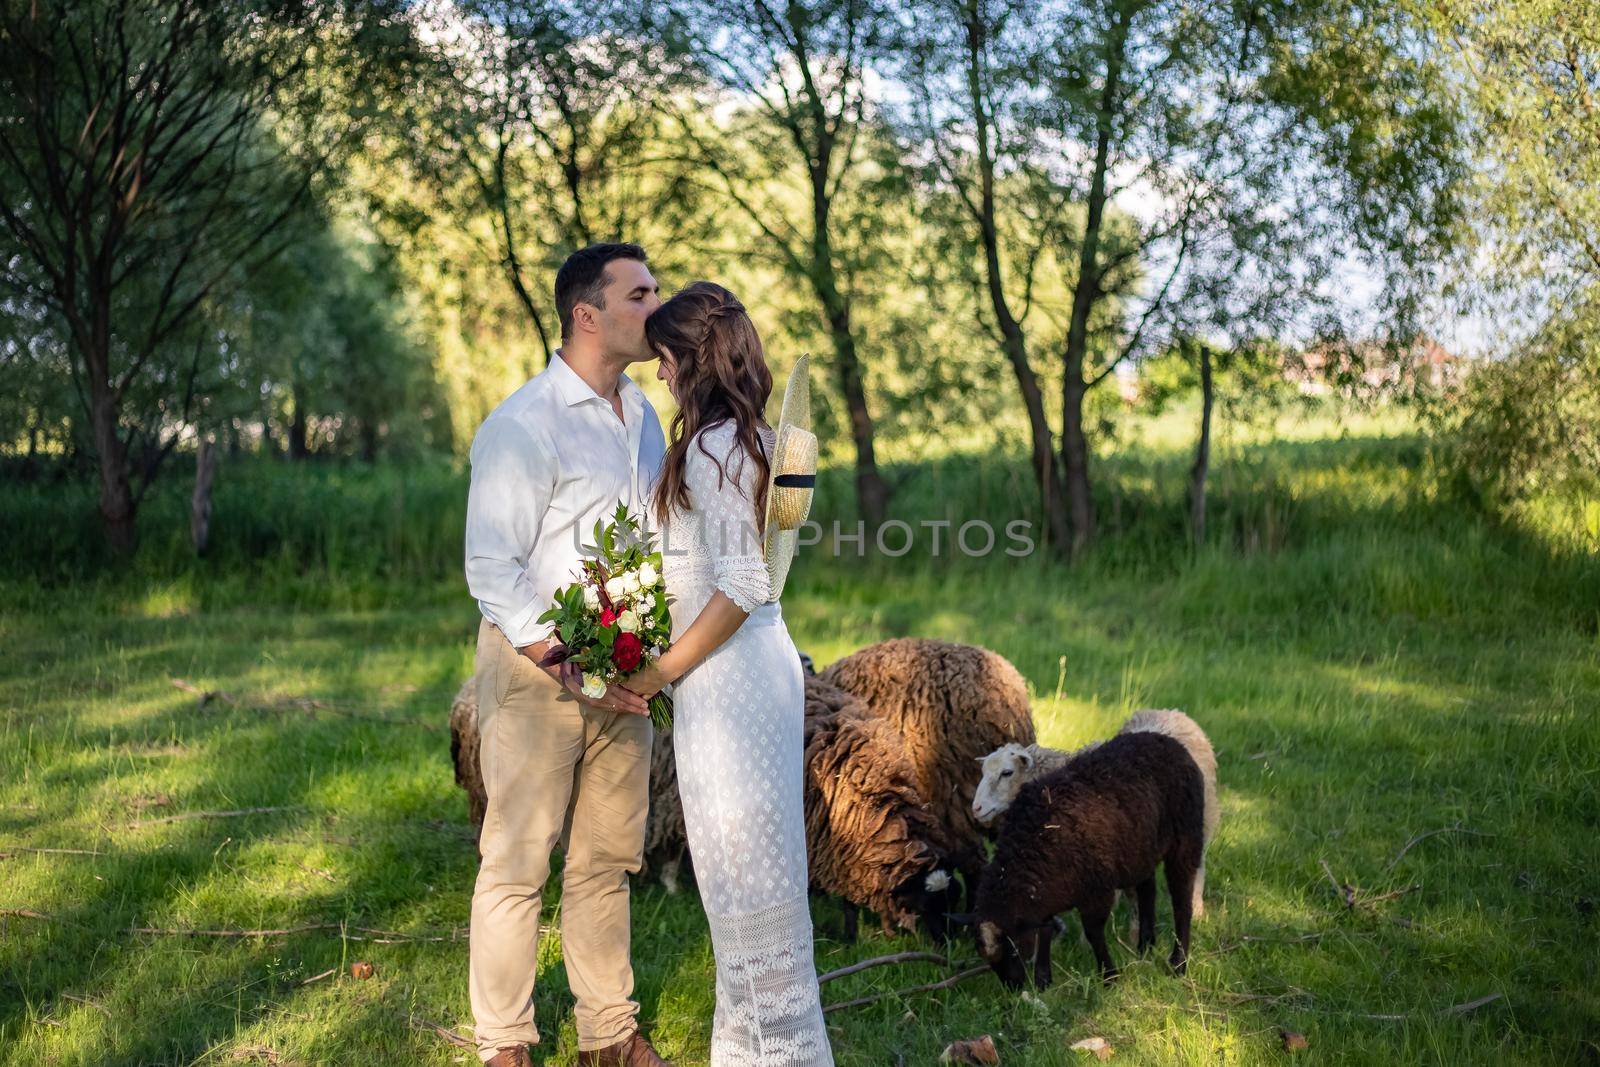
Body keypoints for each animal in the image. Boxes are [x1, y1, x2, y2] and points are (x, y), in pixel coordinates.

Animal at [806, 681, 953, 940]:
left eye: (949, 899)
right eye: (926, 902)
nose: (948, 942)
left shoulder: (844, 851)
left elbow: (849, 903)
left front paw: (851, 938)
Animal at [960, 729, 1203, 991]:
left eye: (1007, 773)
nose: (1013, 987)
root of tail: (1165, 739)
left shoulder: (1097, 889)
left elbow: (1093, 932)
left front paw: (1109, 976)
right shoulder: (1046, 888)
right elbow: (1045, 928)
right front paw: (1044, 980)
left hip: (1185, 840)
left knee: (1182, 902)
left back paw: (1178, 962)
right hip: (1140, 848)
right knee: (1147, 889)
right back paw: (1145, 947)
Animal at [966, 710, 1216, 921]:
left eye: (1007, 773)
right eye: (983, 772)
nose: (976, 808)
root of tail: (1173, 712)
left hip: (1200, 820)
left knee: (1198, 865)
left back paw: (1196, 911)